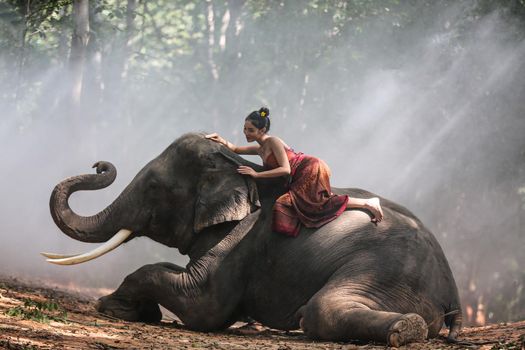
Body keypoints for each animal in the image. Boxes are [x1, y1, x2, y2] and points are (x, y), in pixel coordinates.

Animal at [47, 133, 460, 346]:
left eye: (153, 188)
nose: (99, 164)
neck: (241, 169)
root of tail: (450, 285)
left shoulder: (239, 240)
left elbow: (204, 305)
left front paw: (111, 307)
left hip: (386, 271)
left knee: (322, 308)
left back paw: (404, 330)